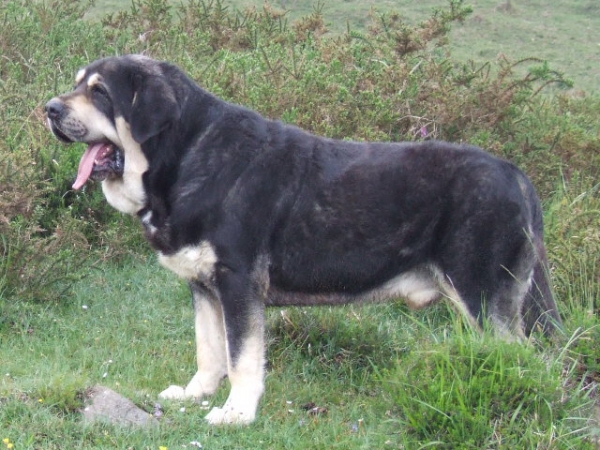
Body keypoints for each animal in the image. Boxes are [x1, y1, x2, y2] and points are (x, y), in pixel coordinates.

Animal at [47, 54, 564, 424]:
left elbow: (242, 356)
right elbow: (209, 349)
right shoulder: (203, 285)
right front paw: (196, 394)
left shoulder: (238, 282)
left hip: (484, 299)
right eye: (77, 85)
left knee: (528, 361)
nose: (49, 109)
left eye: (100, 92)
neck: (186, 155)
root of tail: (516, 175)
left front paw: (236, 413)